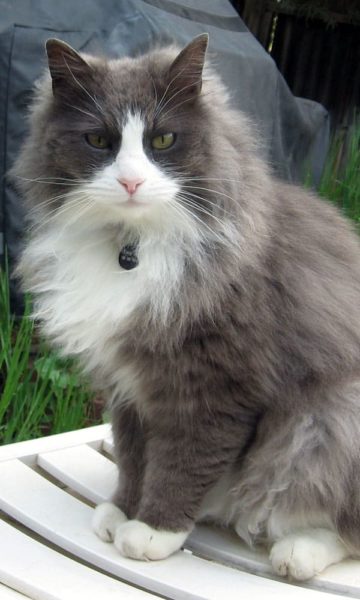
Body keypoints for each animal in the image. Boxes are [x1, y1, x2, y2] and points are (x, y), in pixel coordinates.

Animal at [12, 34, 360, 580]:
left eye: (163, 141)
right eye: (98, 141)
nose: (131, 183)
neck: (133, 245)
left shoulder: (218, 383)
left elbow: (185, 461)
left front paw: (155, 531)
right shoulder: (130, 385)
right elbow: (134, 456)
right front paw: (123, 511)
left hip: (329, 418)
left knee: (335, 514)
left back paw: (297, 554)